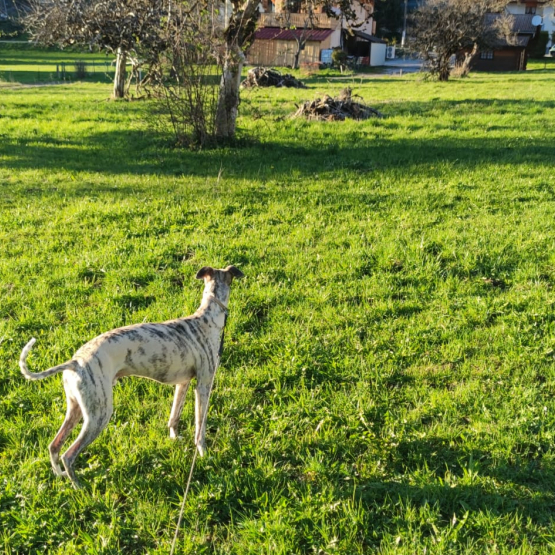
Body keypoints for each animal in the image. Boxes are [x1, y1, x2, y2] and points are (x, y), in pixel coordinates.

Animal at [19, 264, 243, 486]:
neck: (206, 317)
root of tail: (75, 362)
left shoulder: (183, 383)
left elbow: (174, 416)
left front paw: (174, 438)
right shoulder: (203, 385)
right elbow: (200, 427)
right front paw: (203, 454)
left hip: (77, 408)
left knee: (54, 445)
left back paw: (61, 476)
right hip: (99, 414)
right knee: (68, 454)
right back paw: (80, 487)